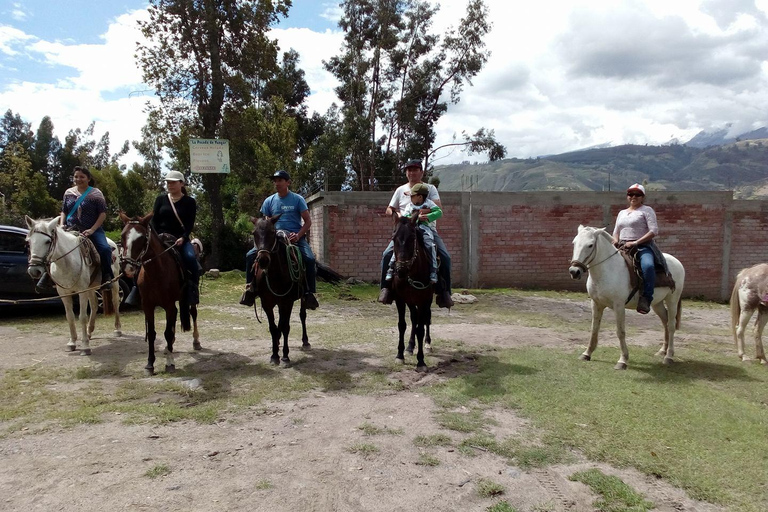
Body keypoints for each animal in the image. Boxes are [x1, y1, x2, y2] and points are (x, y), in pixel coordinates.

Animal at [25, 214, 121, 354]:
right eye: (29, 242)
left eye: (47, 241)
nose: (34, 270)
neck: (66, 262)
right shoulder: (63, 293)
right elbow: (70, 316)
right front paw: (72, 342)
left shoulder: (81, 291)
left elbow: (82, 316)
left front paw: (85, 346)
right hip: (90, 287)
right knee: (94, 304)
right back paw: (89, 332)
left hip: (114, 283)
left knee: (115, 301)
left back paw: (117, 329)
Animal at [118, 210, 200, 374]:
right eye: (123, 236)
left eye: (142, 238)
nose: (128, 267)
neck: (156, 272)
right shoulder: (148, 306)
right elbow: (152, 334)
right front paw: (150, 364)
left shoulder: (168, 305)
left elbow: (167, 332)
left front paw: (170, 363)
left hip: (189, 299)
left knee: (193, 313)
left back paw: (196, 341)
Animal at [252, 214, 312, 366]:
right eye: (254, 233)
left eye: (272, 232)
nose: (263, 260)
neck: (275, 274)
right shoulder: (267, 303)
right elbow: (273, 328)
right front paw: (274, 355)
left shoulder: (287, 302)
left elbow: (285, 327)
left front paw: (285, 356)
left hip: (301, 298)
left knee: (302, 315)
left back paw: (305, 342)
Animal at [390, 213, 432, 372]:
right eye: (393, 238)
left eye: (412, 238)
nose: (400, 270)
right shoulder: (400, 299)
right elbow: (402, 325)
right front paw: (400, 355)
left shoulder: (424, 300)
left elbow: (421, 329)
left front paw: (421, 361)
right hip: (411, 301)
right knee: (414, 319)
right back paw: (410, 347)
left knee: (426, 319)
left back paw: (428, 344)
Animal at [568, 226, 688, 370]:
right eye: (574, 243)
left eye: (590, 245)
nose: (574, 271)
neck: (608, 270)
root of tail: (677, 262)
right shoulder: (596, 303)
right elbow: (594, 329)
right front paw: (587, 353)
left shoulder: (619, 306)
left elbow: (620, 332)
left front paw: (623, 360)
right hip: (657, 303)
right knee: (665, 322)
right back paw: (662, 351)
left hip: (672, 300)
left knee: (671, 325)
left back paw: (669, 356)